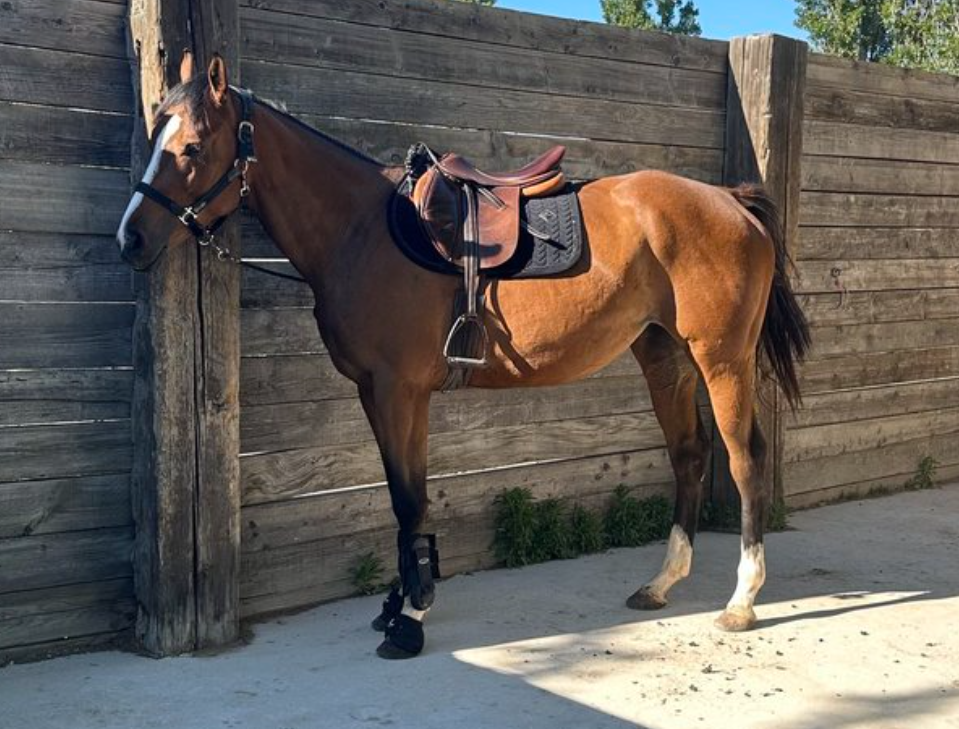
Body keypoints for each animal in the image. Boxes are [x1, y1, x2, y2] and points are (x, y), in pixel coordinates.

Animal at [117, 53, 810, 660]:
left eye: (191, 148)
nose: (131, 238)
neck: (361, 229)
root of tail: (730, 201)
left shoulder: (397, 391)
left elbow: (407, 500)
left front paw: (409, 618)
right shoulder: (385, 394)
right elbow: (408, 495)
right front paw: (405, 599)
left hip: (721, 360)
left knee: (745, 459)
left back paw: (742, 601)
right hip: (664, 355)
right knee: (689, 454)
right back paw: (663, 583)